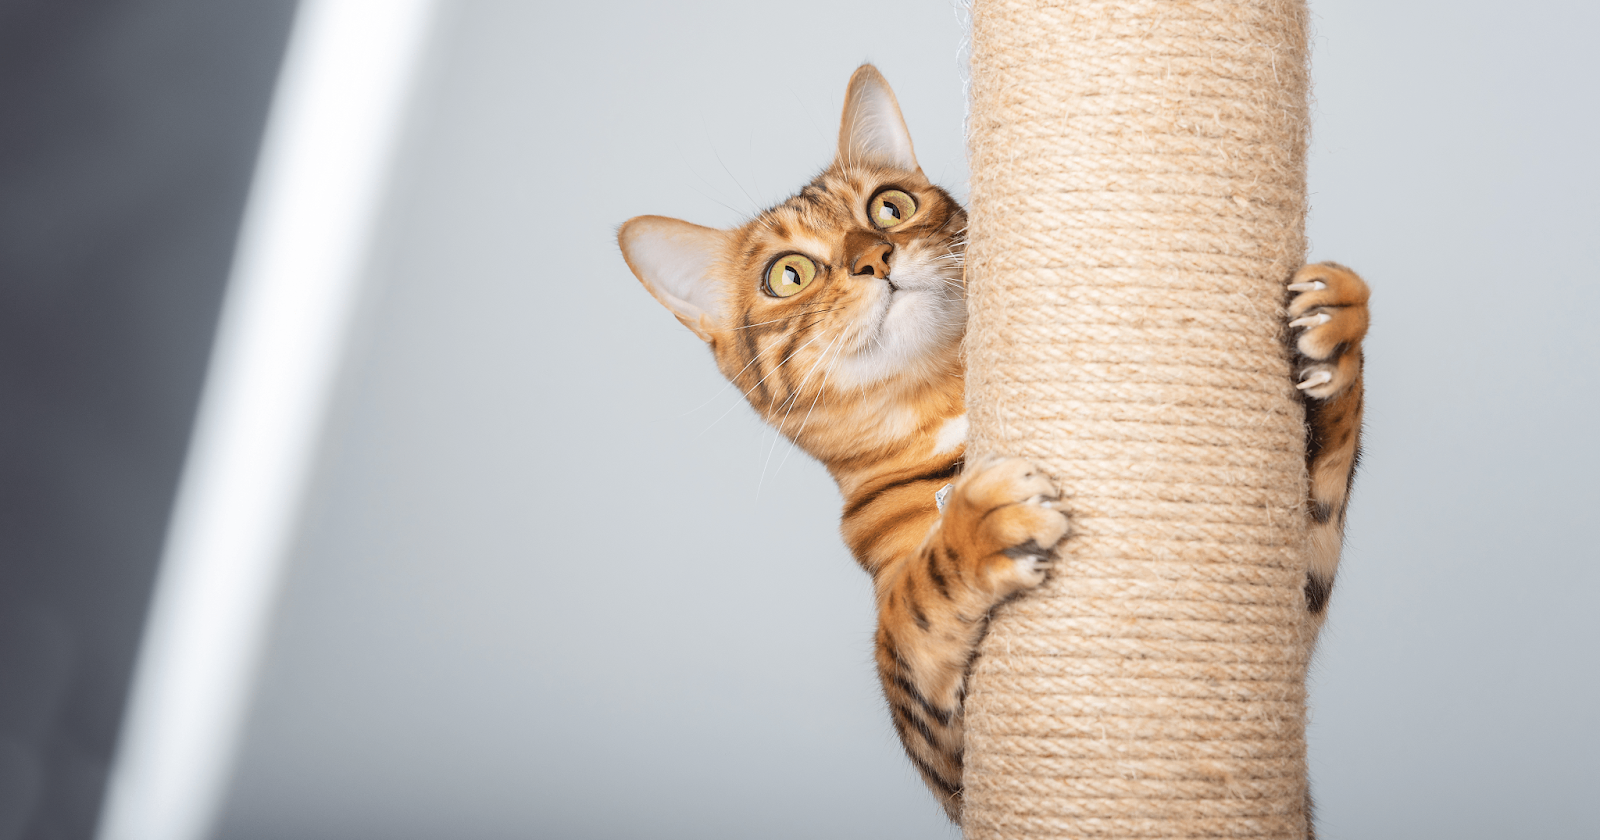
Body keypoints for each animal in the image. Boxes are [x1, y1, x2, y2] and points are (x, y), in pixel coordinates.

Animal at [611, 64, 1363, 819]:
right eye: (788, 274)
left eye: (889, 208)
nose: (875, 257)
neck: (946, 409)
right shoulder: (950, 757)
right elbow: (911, 608)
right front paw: (979, 522)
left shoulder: (1289, 612)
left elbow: (1324, 491)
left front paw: (1338, 325)